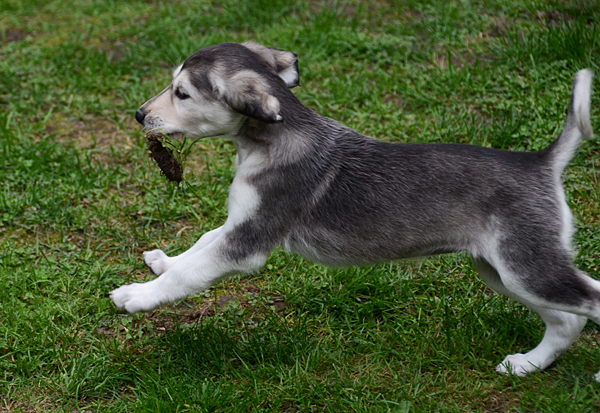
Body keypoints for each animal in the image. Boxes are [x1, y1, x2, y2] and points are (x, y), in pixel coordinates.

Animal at [110, 41, 596, 376]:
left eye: (182, 93)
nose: (139, 115)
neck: (270, 140)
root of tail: (541, 162)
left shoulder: (250, 239)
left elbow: (192, 271)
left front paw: (139, 295)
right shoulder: (239, 223)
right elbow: (198, 246)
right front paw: (162, 262)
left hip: (526, 267)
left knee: (588, 301)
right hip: (504, 271)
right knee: (566, 322)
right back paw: (526, 364)